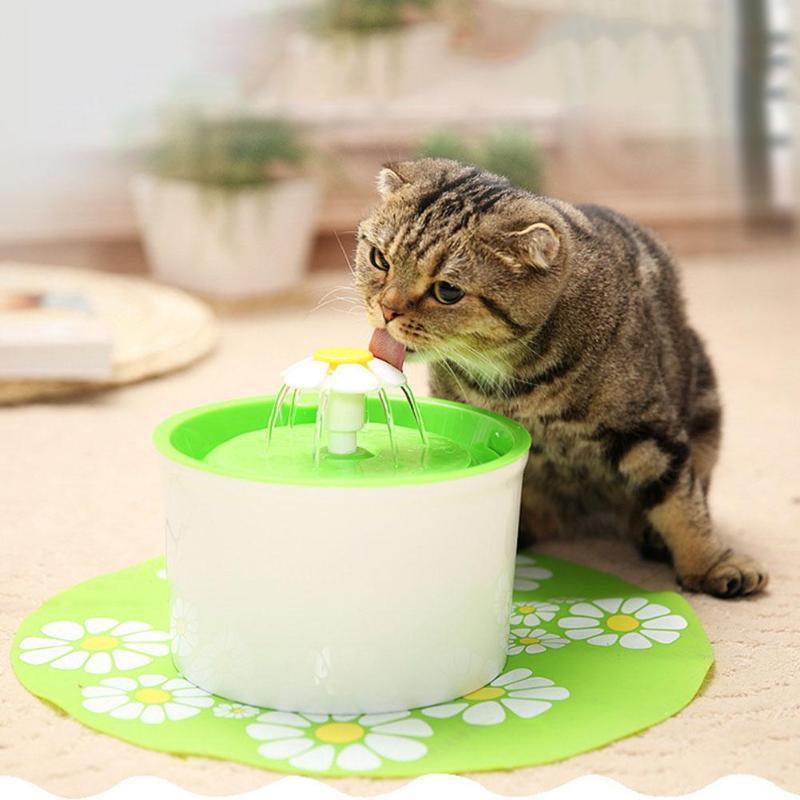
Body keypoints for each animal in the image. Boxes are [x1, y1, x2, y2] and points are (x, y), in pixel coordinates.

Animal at [356, 158, 768, 592]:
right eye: (380, 259)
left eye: (447, 291)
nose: (386, 308)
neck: (514, 382)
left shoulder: (647, 429)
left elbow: (681, 502)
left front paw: (711, 563)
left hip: (703, 396)